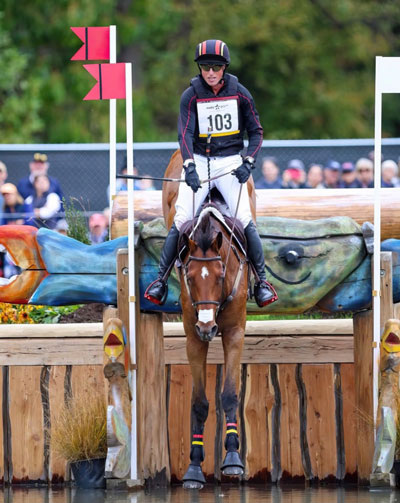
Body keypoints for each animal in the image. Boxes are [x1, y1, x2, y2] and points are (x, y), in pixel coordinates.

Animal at [162, 150, 256, 488]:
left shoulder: (234, 332)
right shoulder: (192, 337)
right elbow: (200, 402)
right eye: (190, 276)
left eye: (220, 275)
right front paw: (193, 466)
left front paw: (233, 458)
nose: (207, 327)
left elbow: (229, 394)